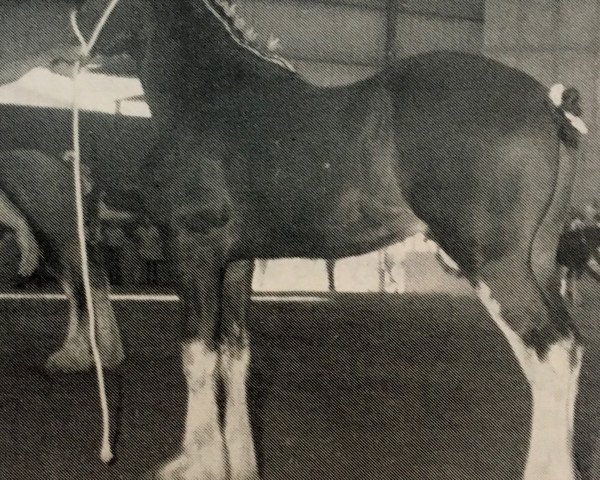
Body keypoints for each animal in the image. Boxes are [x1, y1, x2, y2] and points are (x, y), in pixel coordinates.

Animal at [0, 0, 592, 480]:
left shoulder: (191, 248)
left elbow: (196, 353)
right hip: (537, 262)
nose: (56, 49)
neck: (213, 98)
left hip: (492, 264)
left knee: (550, 352)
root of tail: (548, 102)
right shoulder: (236, 262)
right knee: (569, 349)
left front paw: (196, 462)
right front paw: (238, 463)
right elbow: (234, 353)